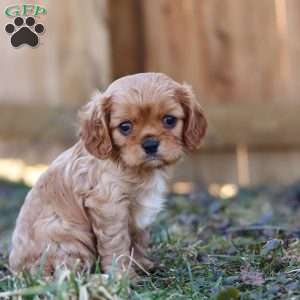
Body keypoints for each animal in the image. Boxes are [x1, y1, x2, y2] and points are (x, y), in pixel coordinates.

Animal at [8, 72, 206, 276]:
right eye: (125, 127)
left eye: (169, 120)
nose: (150, 144)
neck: (134, 168)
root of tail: (17, 268)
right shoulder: (109, 205)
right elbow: (117, 243)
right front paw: (122, 275)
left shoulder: (139, 215)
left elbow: (138, 240)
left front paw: (141, 265)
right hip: (67, 236)